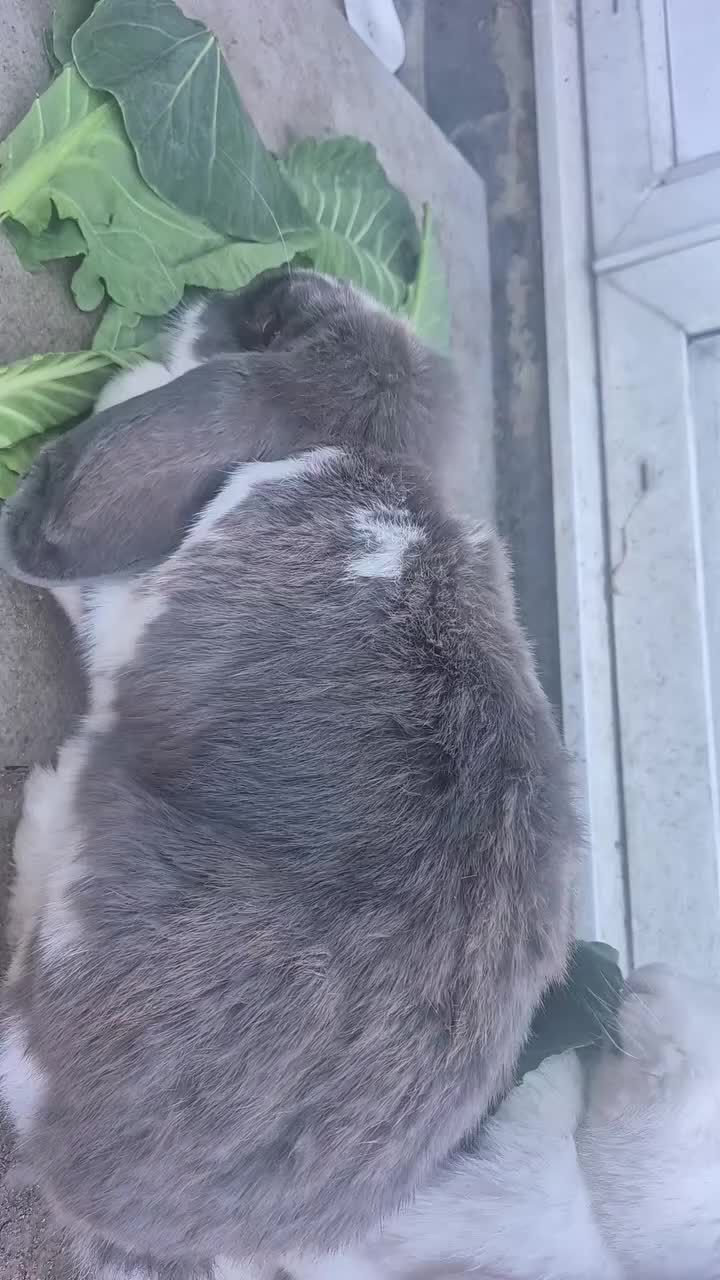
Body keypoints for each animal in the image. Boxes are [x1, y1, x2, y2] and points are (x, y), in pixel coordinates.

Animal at [0, 269, 578, 1278]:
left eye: (264, 321)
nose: (199, 293)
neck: (351, 453)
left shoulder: (123, 613)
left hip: (89, 878)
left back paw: (43, 798)